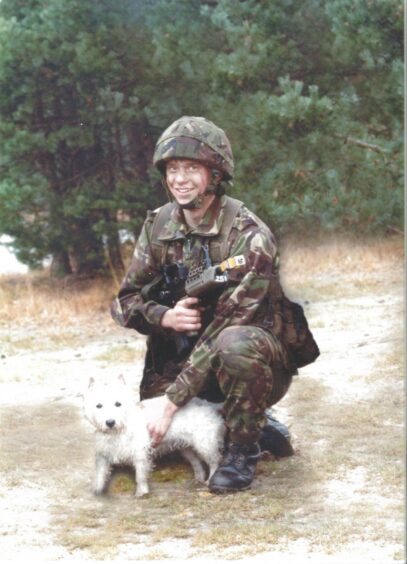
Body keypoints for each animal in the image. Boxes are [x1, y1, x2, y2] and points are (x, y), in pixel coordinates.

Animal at [83, 376, 226, 496]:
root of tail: (209, 405)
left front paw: (141, 492)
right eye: (99, 406)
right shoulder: (103, 455)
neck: (119, 430)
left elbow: (140, 475)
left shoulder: (140, 454)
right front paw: (97, 490)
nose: (110, 422)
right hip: (187, 448)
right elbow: (100, 473)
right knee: (197, 463)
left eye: (118, 404)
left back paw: (210, 480)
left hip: (205, 444)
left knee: (215, 461)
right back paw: (198, 479)